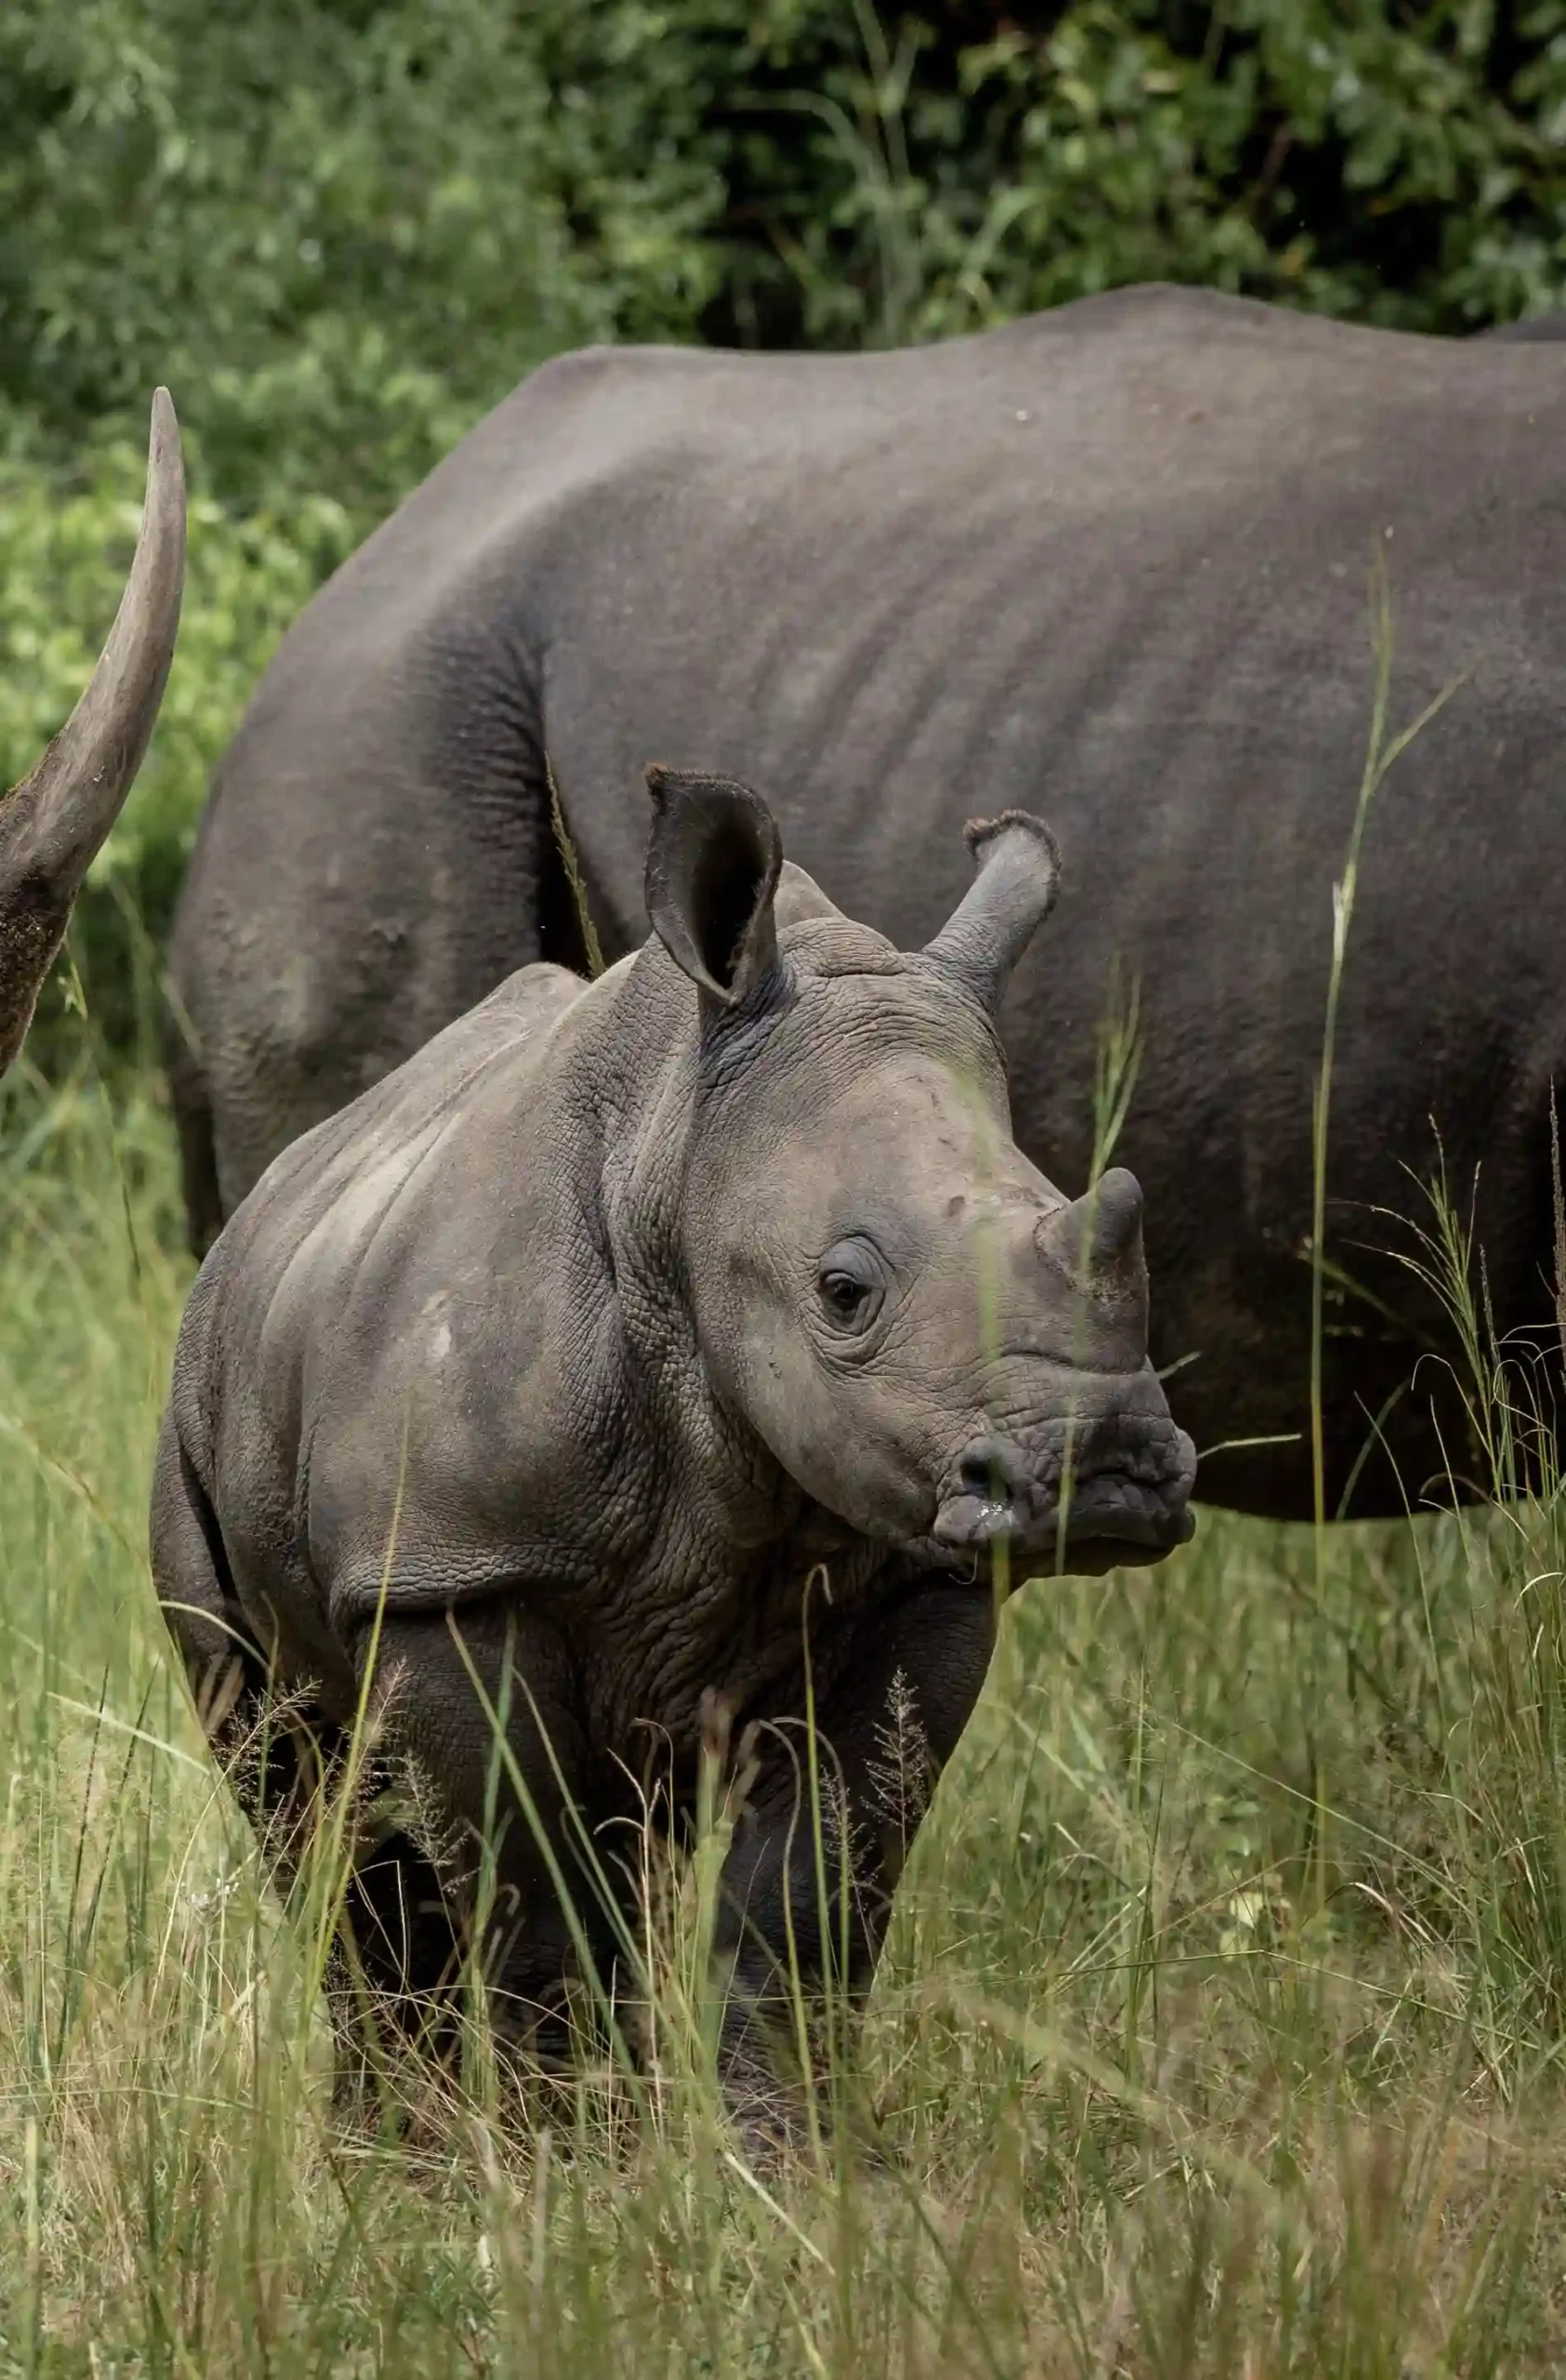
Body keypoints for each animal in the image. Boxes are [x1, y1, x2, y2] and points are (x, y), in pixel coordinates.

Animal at [152, 772, 1196, 2115]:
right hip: (198, 1411)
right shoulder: (452, 1568)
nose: (1106, 1467)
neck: (675, 1163)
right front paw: (560, 2154)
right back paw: (397, 2132)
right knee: (305, 1803)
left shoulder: (927, 1571)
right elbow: (527, 1902)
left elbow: (810, 1905)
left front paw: (781, 2152)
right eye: (843, 1291)